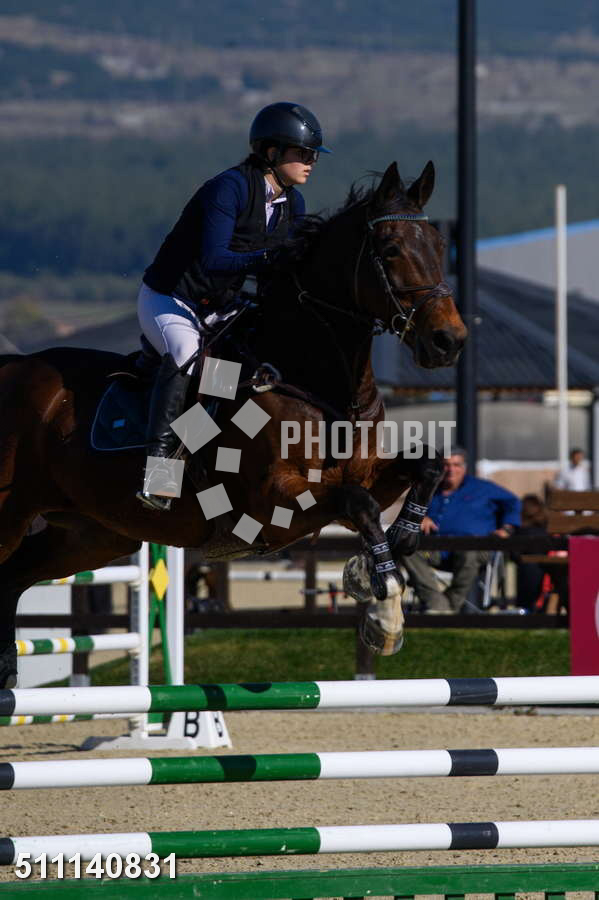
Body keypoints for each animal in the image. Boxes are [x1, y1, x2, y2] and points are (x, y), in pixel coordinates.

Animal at [0, 160, 466, 687]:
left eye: (440, 247)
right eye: (390, 250)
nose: (449, 341)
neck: (313, 375)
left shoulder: (362, 476)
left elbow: (424, 466)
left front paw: (399, 548)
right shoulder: (271, 503)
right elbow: (360, 504)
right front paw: (383, 611)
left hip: (91, 533)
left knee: (11, 579)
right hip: (13, 513)